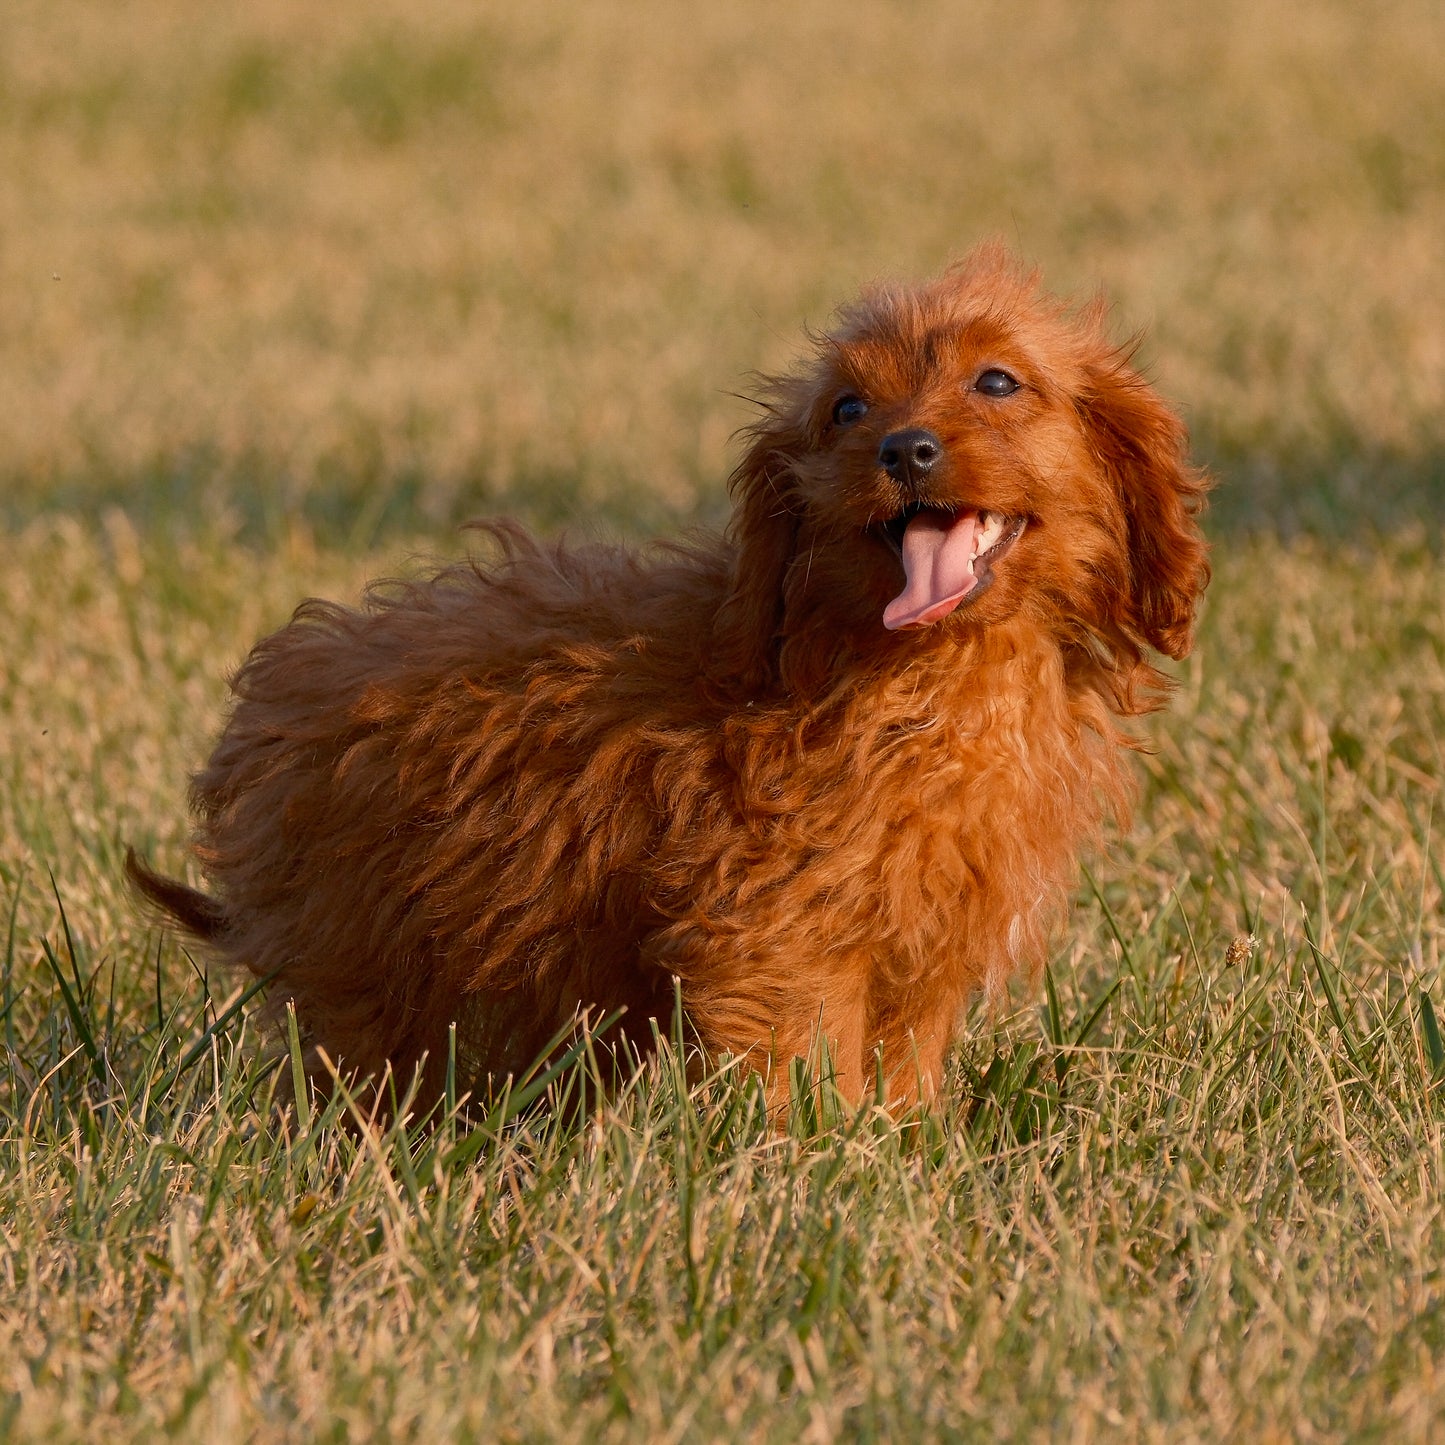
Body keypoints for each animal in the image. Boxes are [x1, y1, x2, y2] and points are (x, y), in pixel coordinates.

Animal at [130, 245, 1208, 1103]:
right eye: (846, 408)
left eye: (996, 382)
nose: (903, 448)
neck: (925, 670)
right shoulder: (776, 930)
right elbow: (805, 1070)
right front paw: (824, 1169)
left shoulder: (914, 943)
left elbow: (901, 1067)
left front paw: (903, 1152)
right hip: (367, 953)